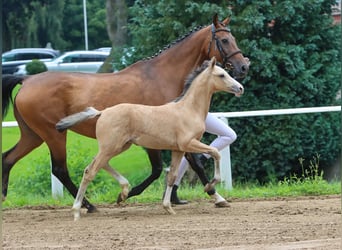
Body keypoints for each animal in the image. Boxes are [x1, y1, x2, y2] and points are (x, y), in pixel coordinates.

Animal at [56, 57, 243, 221]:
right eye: (221, 75)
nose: (240, 88)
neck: (188, 110)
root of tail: (102, 112)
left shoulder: (178, 149)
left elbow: (172, 176)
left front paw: (168, 207)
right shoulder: (189, 143)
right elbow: (215, 153)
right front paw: (210, 185)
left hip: (119, 146)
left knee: (101, 164)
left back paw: (123, 192)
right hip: (111, 147)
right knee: (90, 171)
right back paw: (77, 211)